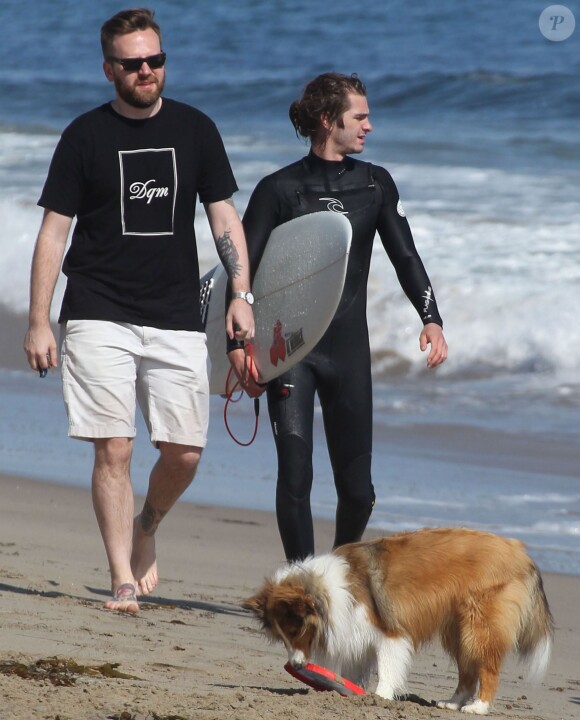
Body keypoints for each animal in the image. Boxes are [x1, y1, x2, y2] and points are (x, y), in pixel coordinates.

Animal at [241, 528, 552, 716]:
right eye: (282, 637)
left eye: (297, 631)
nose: (296, 666)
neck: (327, 592)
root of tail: (521, 553)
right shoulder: (357, 634)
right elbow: (353, 671)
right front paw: (349, 692)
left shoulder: (389, 633)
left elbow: (387, 668)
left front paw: (379, 697)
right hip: (458, 629)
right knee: (468, 670)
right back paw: (452, 703)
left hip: (478, 627)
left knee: (487, 668)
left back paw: (478, 706)